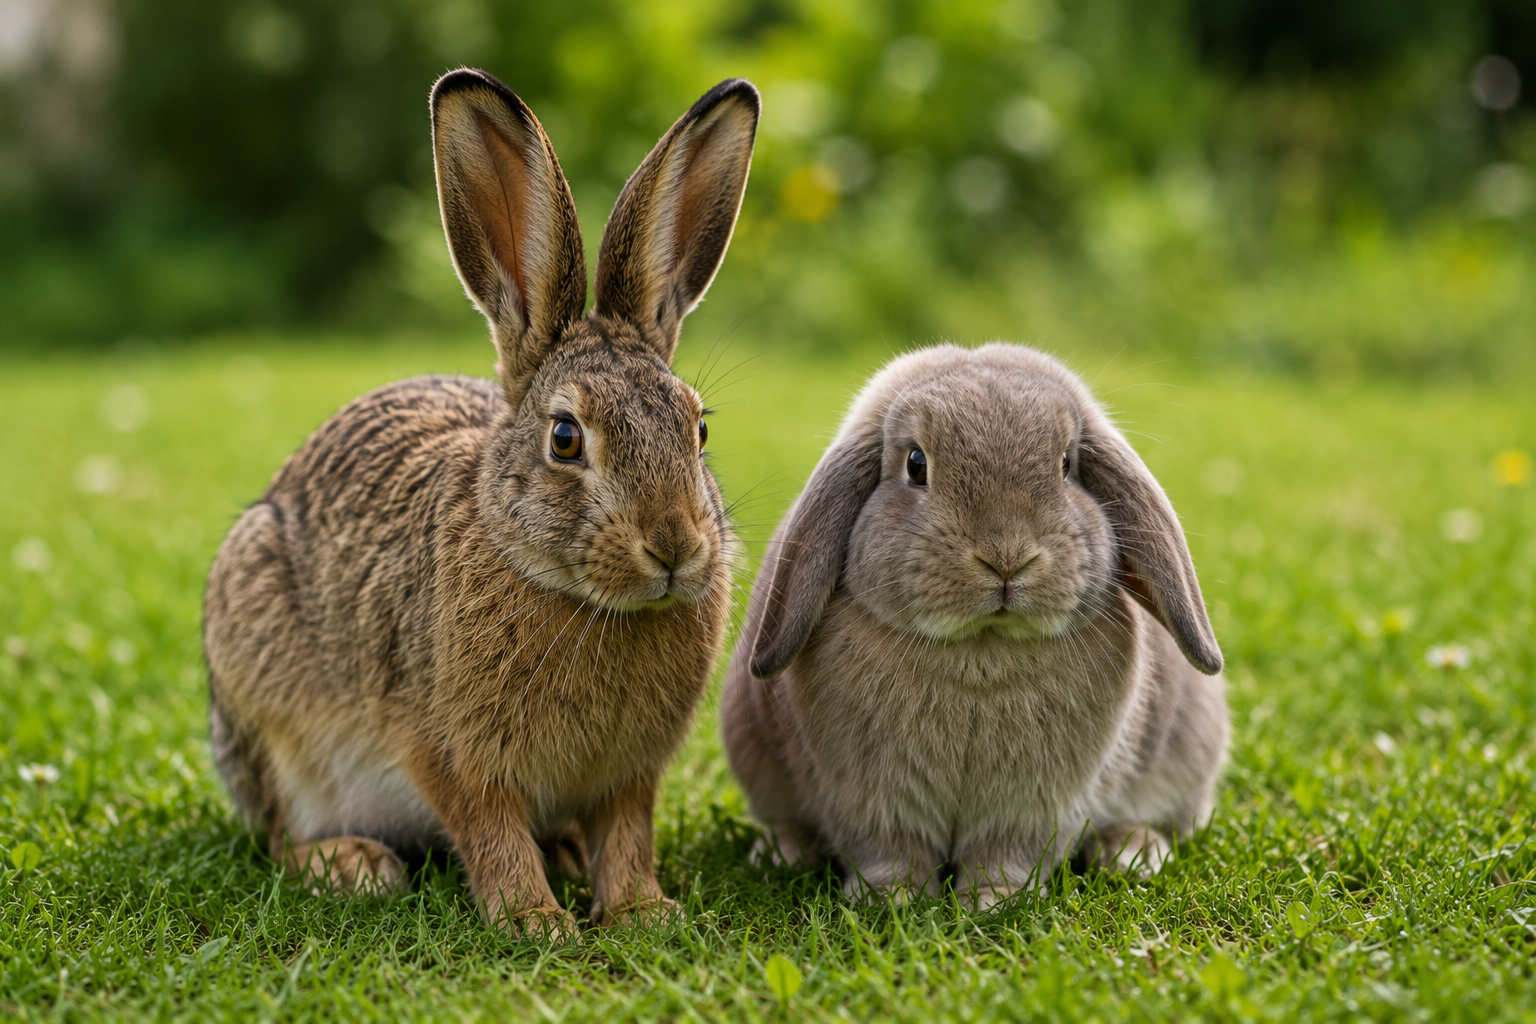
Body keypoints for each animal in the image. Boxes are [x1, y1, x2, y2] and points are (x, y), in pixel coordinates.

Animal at [203, 69, 760, 937]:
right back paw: (351, 864)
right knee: (277, 832)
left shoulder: (629, 775)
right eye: (565, 438)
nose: (674, 546)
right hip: (267, 710)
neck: (579, 597)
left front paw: (642, 911)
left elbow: (626, 833)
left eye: (698, 428)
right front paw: (534, 920)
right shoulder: (446, 749)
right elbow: (488, 829)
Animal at [721, 343, 1228, 907]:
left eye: (1066, 464)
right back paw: (783, 852)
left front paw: (993, 901)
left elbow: (1006, 856)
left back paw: (1133, 855)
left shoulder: (1034, 808)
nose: (1006, 558)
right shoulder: (871, 803)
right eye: (916, 464)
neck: (983, 646)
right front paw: (892, 900)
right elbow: (889, 854)